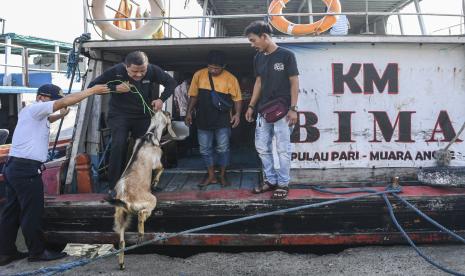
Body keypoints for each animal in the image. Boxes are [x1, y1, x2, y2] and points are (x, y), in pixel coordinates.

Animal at [109, 110, 176, 270]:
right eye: (169, 115)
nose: (172, 115)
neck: (150, 134)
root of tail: (124, 197)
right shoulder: (157, 162)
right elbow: (161, 168)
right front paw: (155, 182)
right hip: (150, 201)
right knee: (141, 214)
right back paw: (140, 233)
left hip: (120, 217)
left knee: (121, 241)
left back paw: (122, 264)